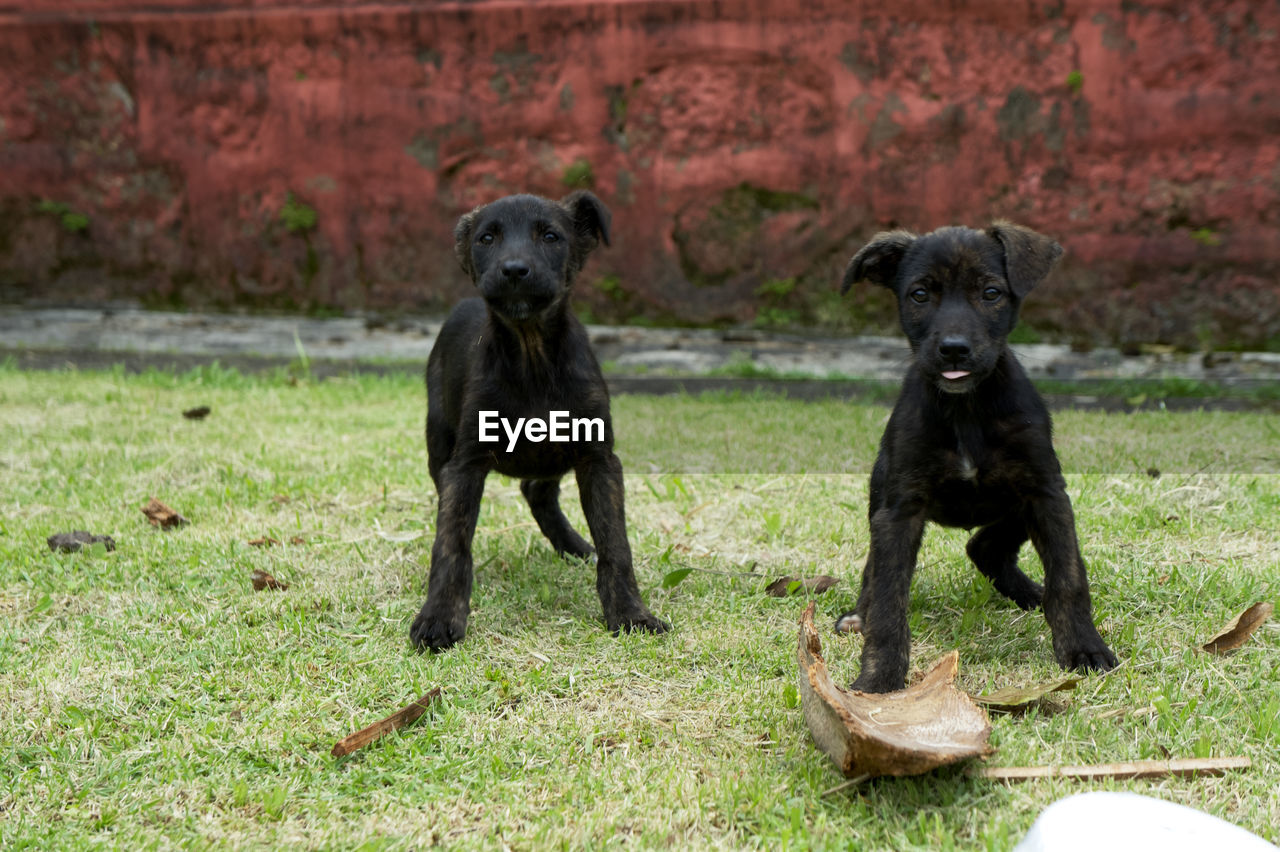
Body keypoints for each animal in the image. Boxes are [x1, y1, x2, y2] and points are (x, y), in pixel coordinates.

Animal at [409, 189, 670, 647]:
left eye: (550, 236)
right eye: (487, 238)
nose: (514, 269)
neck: (532, 355)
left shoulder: (598, 459)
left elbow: (616, 544)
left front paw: (630, 613)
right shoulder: (465, 464)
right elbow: (451, 542)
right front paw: (439, 617)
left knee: (537, 490)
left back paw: (576, 548)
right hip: (439, 443)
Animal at [834, 220, 1116, 690]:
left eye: (991, 293)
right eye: (919, 294)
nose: (953, 349)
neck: (966, 408)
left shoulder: (1046, 493)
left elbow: (1069, 577)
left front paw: (1084, 648)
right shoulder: (899, 510)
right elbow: (890, 599)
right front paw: (879, 677)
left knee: (984, 545)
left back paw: (1030, 593)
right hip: (880, 496)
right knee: (879, 570)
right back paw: (859, 614)